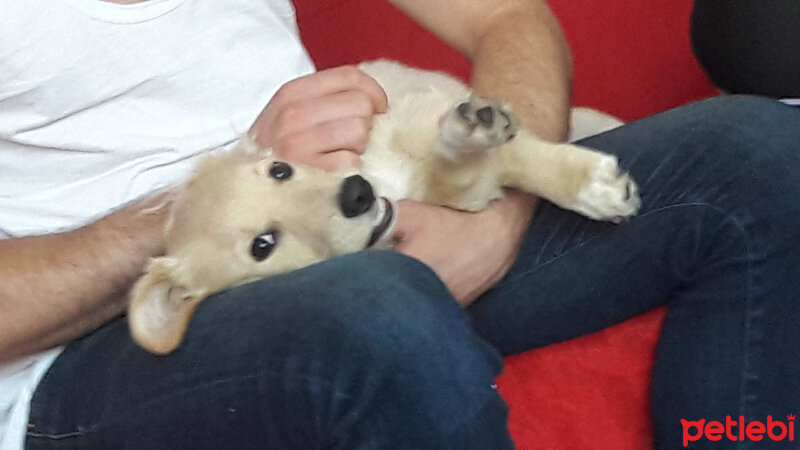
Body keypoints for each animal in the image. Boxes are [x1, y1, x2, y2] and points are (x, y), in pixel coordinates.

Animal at [133, 59, 644, 356]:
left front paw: (592, 187)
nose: (357, 193)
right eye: (263, 245)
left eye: (280, 169)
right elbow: (461, 178)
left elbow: (513, 157)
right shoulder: (459, 188)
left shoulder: (415, 111)